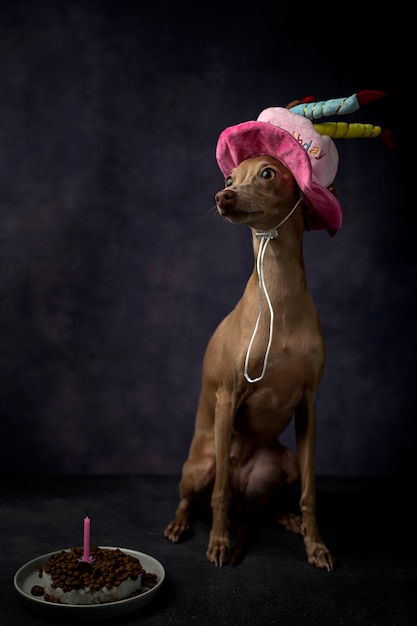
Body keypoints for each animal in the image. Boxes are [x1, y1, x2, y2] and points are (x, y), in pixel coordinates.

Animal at [162, 150, 334, 564]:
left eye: (267, 174)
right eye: (229, 179)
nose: (223, 196)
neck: (279, 299)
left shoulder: (308, 406)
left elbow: (310, 492)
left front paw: (316, 544)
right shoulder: (227, 398)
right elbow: (220, 493)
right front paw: (219, 543)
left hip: (286, 462)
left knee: (267, 502)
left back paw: (287, 518)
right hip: (200, 465)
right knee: (199, 496)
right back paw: (181, 524)